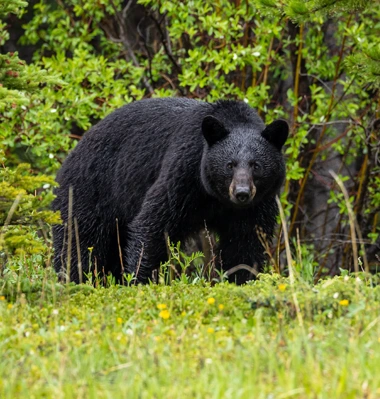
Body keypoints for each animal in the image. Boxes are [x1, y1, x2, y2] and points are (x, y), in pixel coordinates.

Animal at [52, 98, 288, 286]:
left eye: (256, 165)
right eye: (229, 165)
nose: (242, 193)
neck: (216, 198)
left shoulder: (256, 205)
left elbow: (245, 243)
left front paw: (240, 279)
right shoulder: (184, 173)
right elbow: (154, 224)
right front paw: (141, 279)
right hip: (90, 192)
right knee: (79, 242)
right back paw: (72, 280)